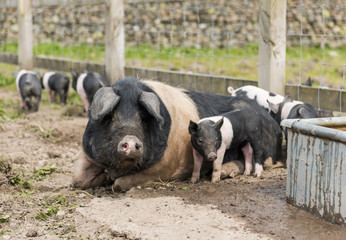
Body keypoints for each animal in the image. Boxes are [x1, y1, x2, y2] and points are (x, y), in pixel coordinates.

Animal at [73, 77, 276, 191]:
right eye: (111, 116)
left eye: (143, 118)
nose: (130, 141)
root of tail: (270, 118)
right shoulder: (88, 153)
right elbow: (77, 180)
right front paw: (103, 177)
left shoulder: (166, 166)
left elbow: (120, 184)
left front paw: (111, 181)